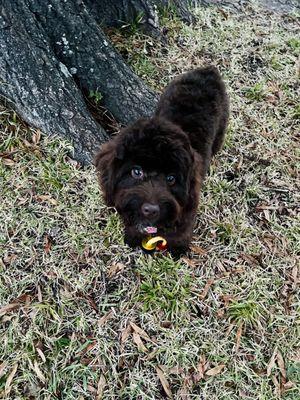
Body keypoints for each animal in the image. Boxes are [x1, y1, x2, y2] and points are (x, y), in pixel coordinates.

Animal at [95, 65, 229, 253]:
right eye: (137, 172)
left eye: (171, 178)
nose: (150, 210)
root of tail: (208, 70)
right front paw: (133, 237)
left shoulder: (187, 211)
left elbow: (180, 232)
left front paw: (177, 249)